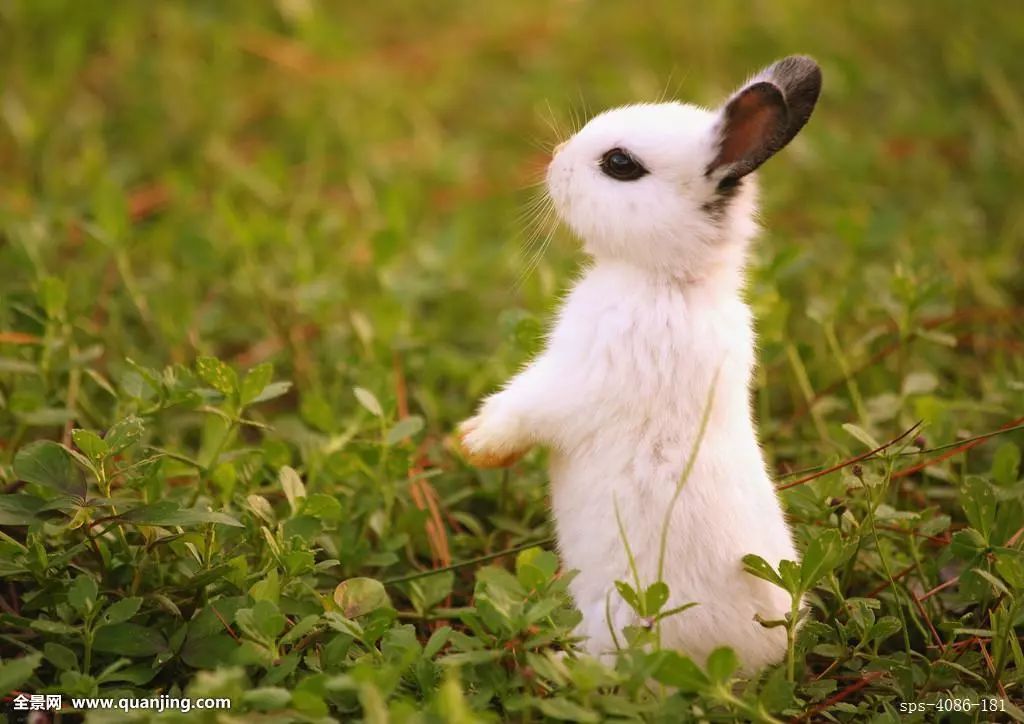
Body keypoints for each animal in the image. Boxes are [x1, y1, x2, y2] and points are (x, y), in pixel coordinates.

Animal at [460, 56, 819, 675]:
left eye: (620, 165)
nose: (554, 162)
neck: (671, 282)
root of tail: (760, 652)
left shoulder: (578, 377)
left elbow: (524, 408)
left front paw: (475, 443)